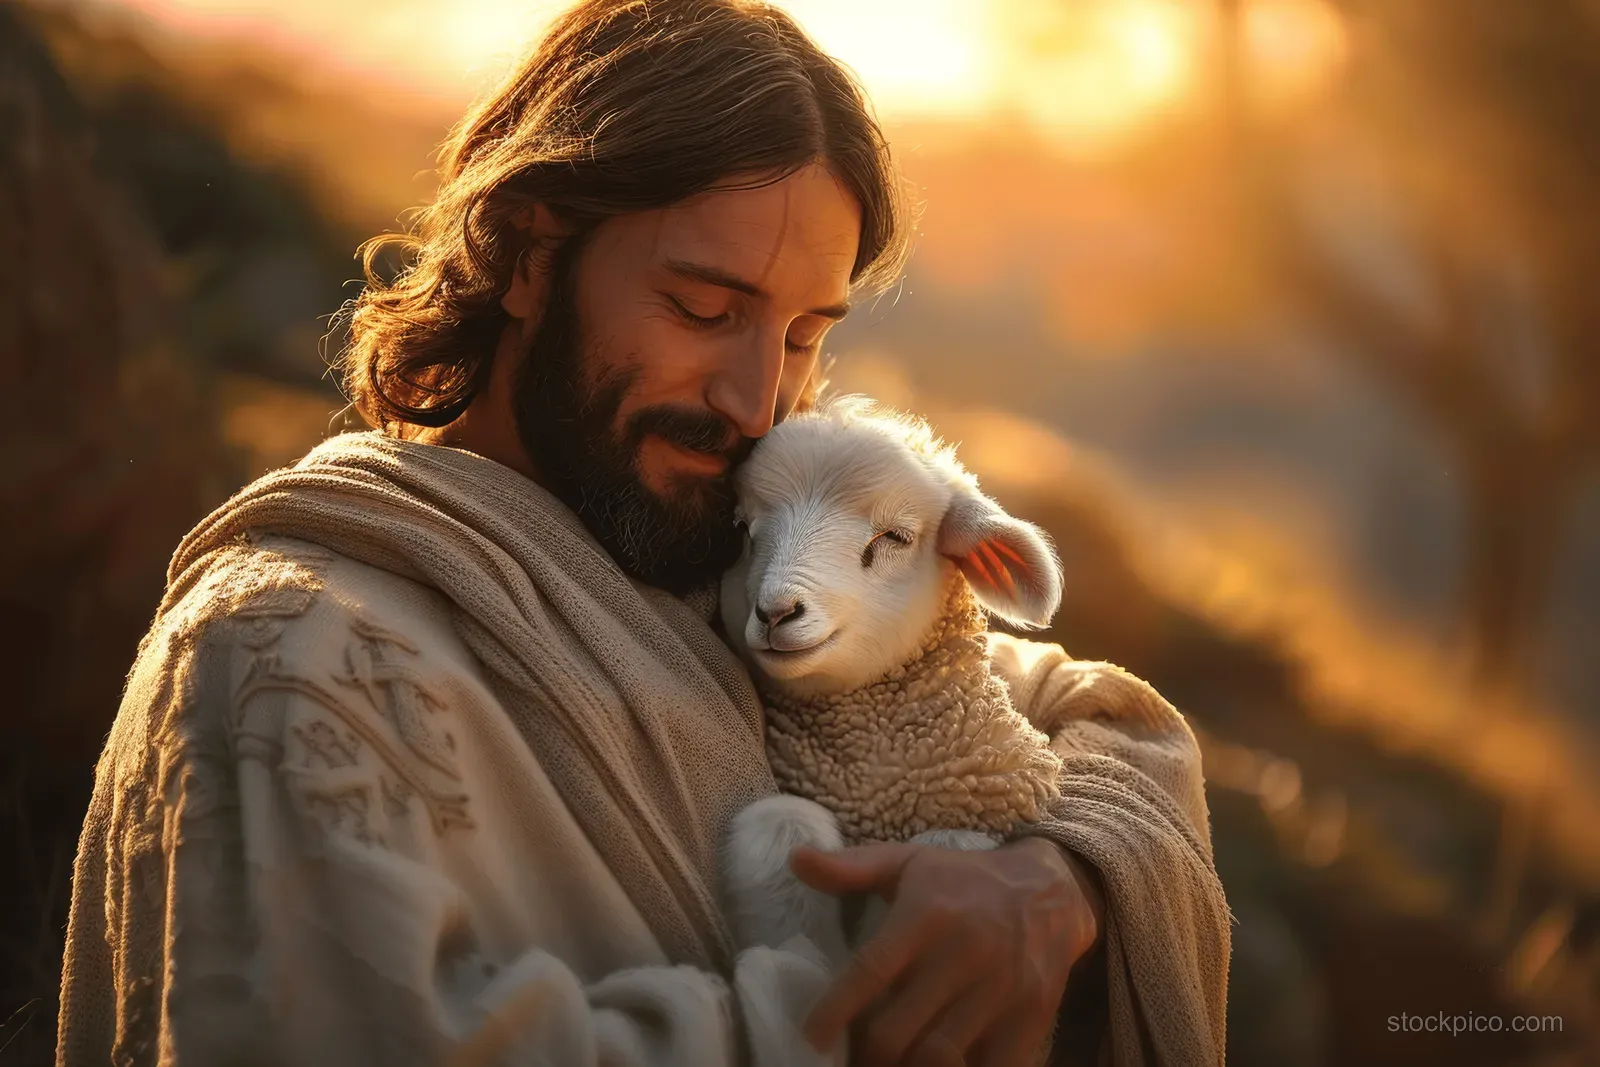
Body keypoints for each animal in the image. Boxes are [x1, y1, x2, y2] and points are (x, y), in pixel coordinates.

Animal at [716, 396, 1068, 983]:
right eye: (742, 532)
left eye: (895, 539)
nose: (776, 613)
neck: (875, 785)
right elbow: (784, 826)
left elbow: (947, 848)